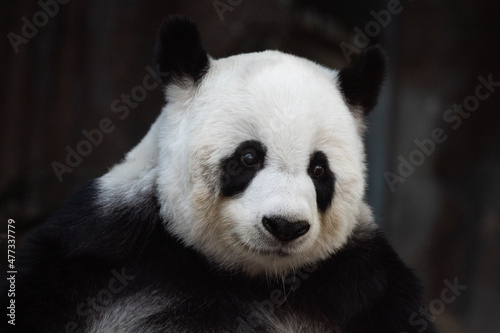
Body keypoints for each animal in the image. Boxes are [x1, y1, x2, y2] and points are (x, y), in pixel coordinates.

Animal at [2, 15, 434, 332]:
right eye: (249, 157)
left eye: (318, 169)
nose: (285, 226)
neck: (248, 276)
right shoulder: (96, 249)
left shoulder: (365, 284)